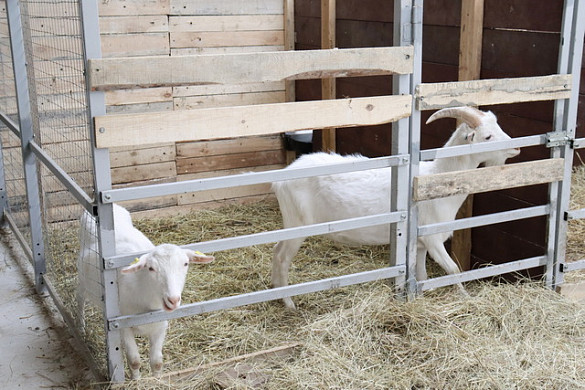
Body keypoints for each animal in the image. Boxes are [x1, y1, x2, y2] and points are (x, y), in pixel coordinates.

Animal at [76, 204, 214, 378]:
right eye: (151, 268)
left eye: (186, 263)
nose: (173, 300)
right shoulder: (122, 325)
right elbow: (134, 360)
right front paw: (136, 380)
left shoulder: (161, 325)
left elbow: (157, 362)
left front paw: (157, 379)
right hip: (82, 278)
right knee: (80, 299)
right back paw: (81, 327)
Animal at [272, 106, 516, 308]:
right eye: (487, 136)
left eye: (498, 126)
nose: (514, 149)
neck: (435, 178)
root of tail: (281, 178)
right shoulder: (434, 241)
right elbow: (453, 269)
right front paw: (466, 298)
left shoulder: (420, 243)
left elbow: (422, 276)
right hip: (298, 224)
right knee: (282, 258)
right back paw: (289, 303)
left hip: (289, 223)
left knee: (276, 249)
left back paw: (276, 291)